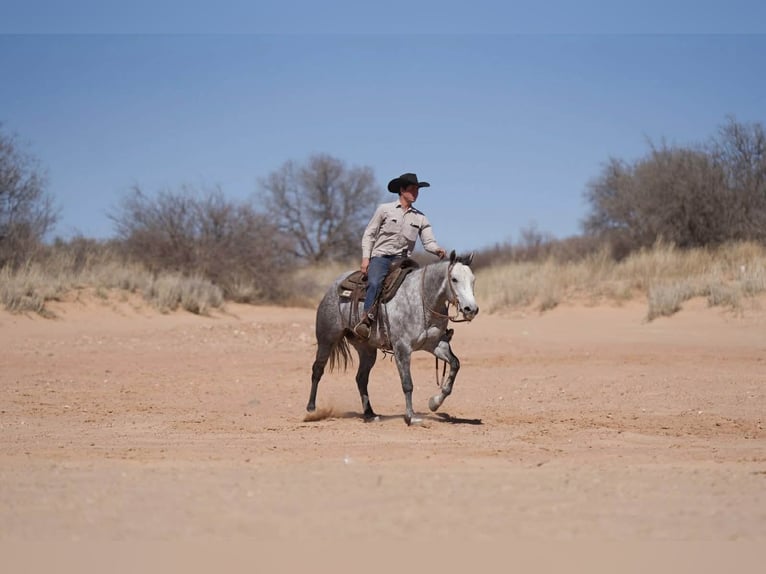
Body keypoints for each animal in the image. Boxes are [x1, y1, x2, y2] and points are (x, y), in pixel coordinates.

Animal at [306, 250, 479, 425]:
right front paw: (410, 417)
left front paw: (434, 403)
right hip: (327, 339)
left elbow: (455, 364)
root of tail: (332, 288)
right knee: (317, 369)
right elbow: (407, 384)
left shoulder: (436, 344)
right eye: (454, 279)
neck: (422, 300)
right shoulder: (402, 348)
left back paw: (370, 414)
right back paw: (311, 410)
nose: (471, 309)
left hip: (366, 349)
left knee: (361, 378)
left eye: (473, 279)